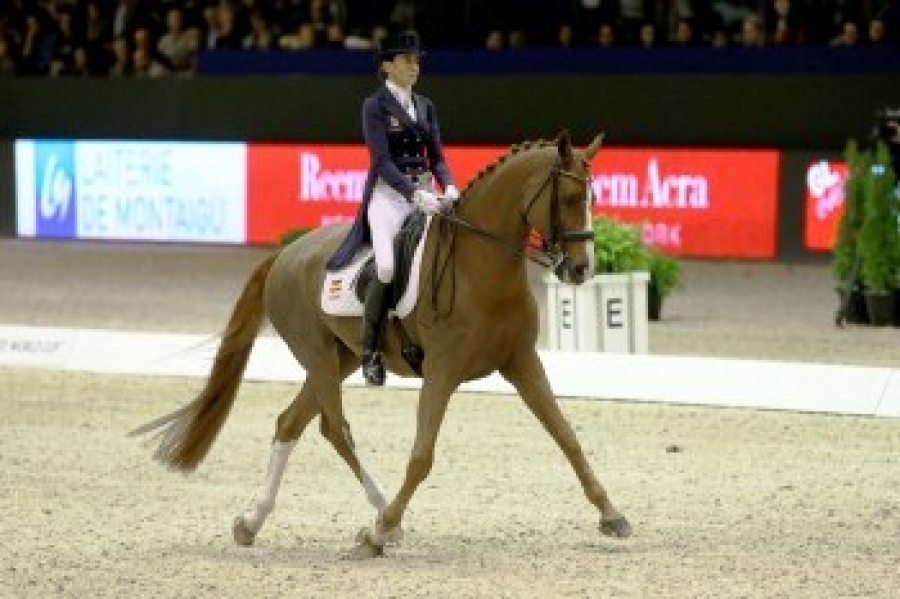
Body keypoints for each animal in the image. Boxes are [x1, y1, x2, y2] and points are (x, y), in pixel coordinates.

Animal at [132, 132, 632, 556]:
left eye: (593, 198)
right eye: (568, 199)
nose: (581, 270)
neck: (481, 268)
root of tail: (285, 254)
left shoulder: (522, 362)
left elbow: (567, 437)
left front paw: (612, 515)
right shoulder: (442, 372)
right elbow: (421, 457)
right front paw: (378, 533)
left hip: (343, 358)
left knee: (291, 423)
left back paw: (252, 522)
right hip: (317, 357)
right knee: (334, 429)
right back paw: (381, 519)